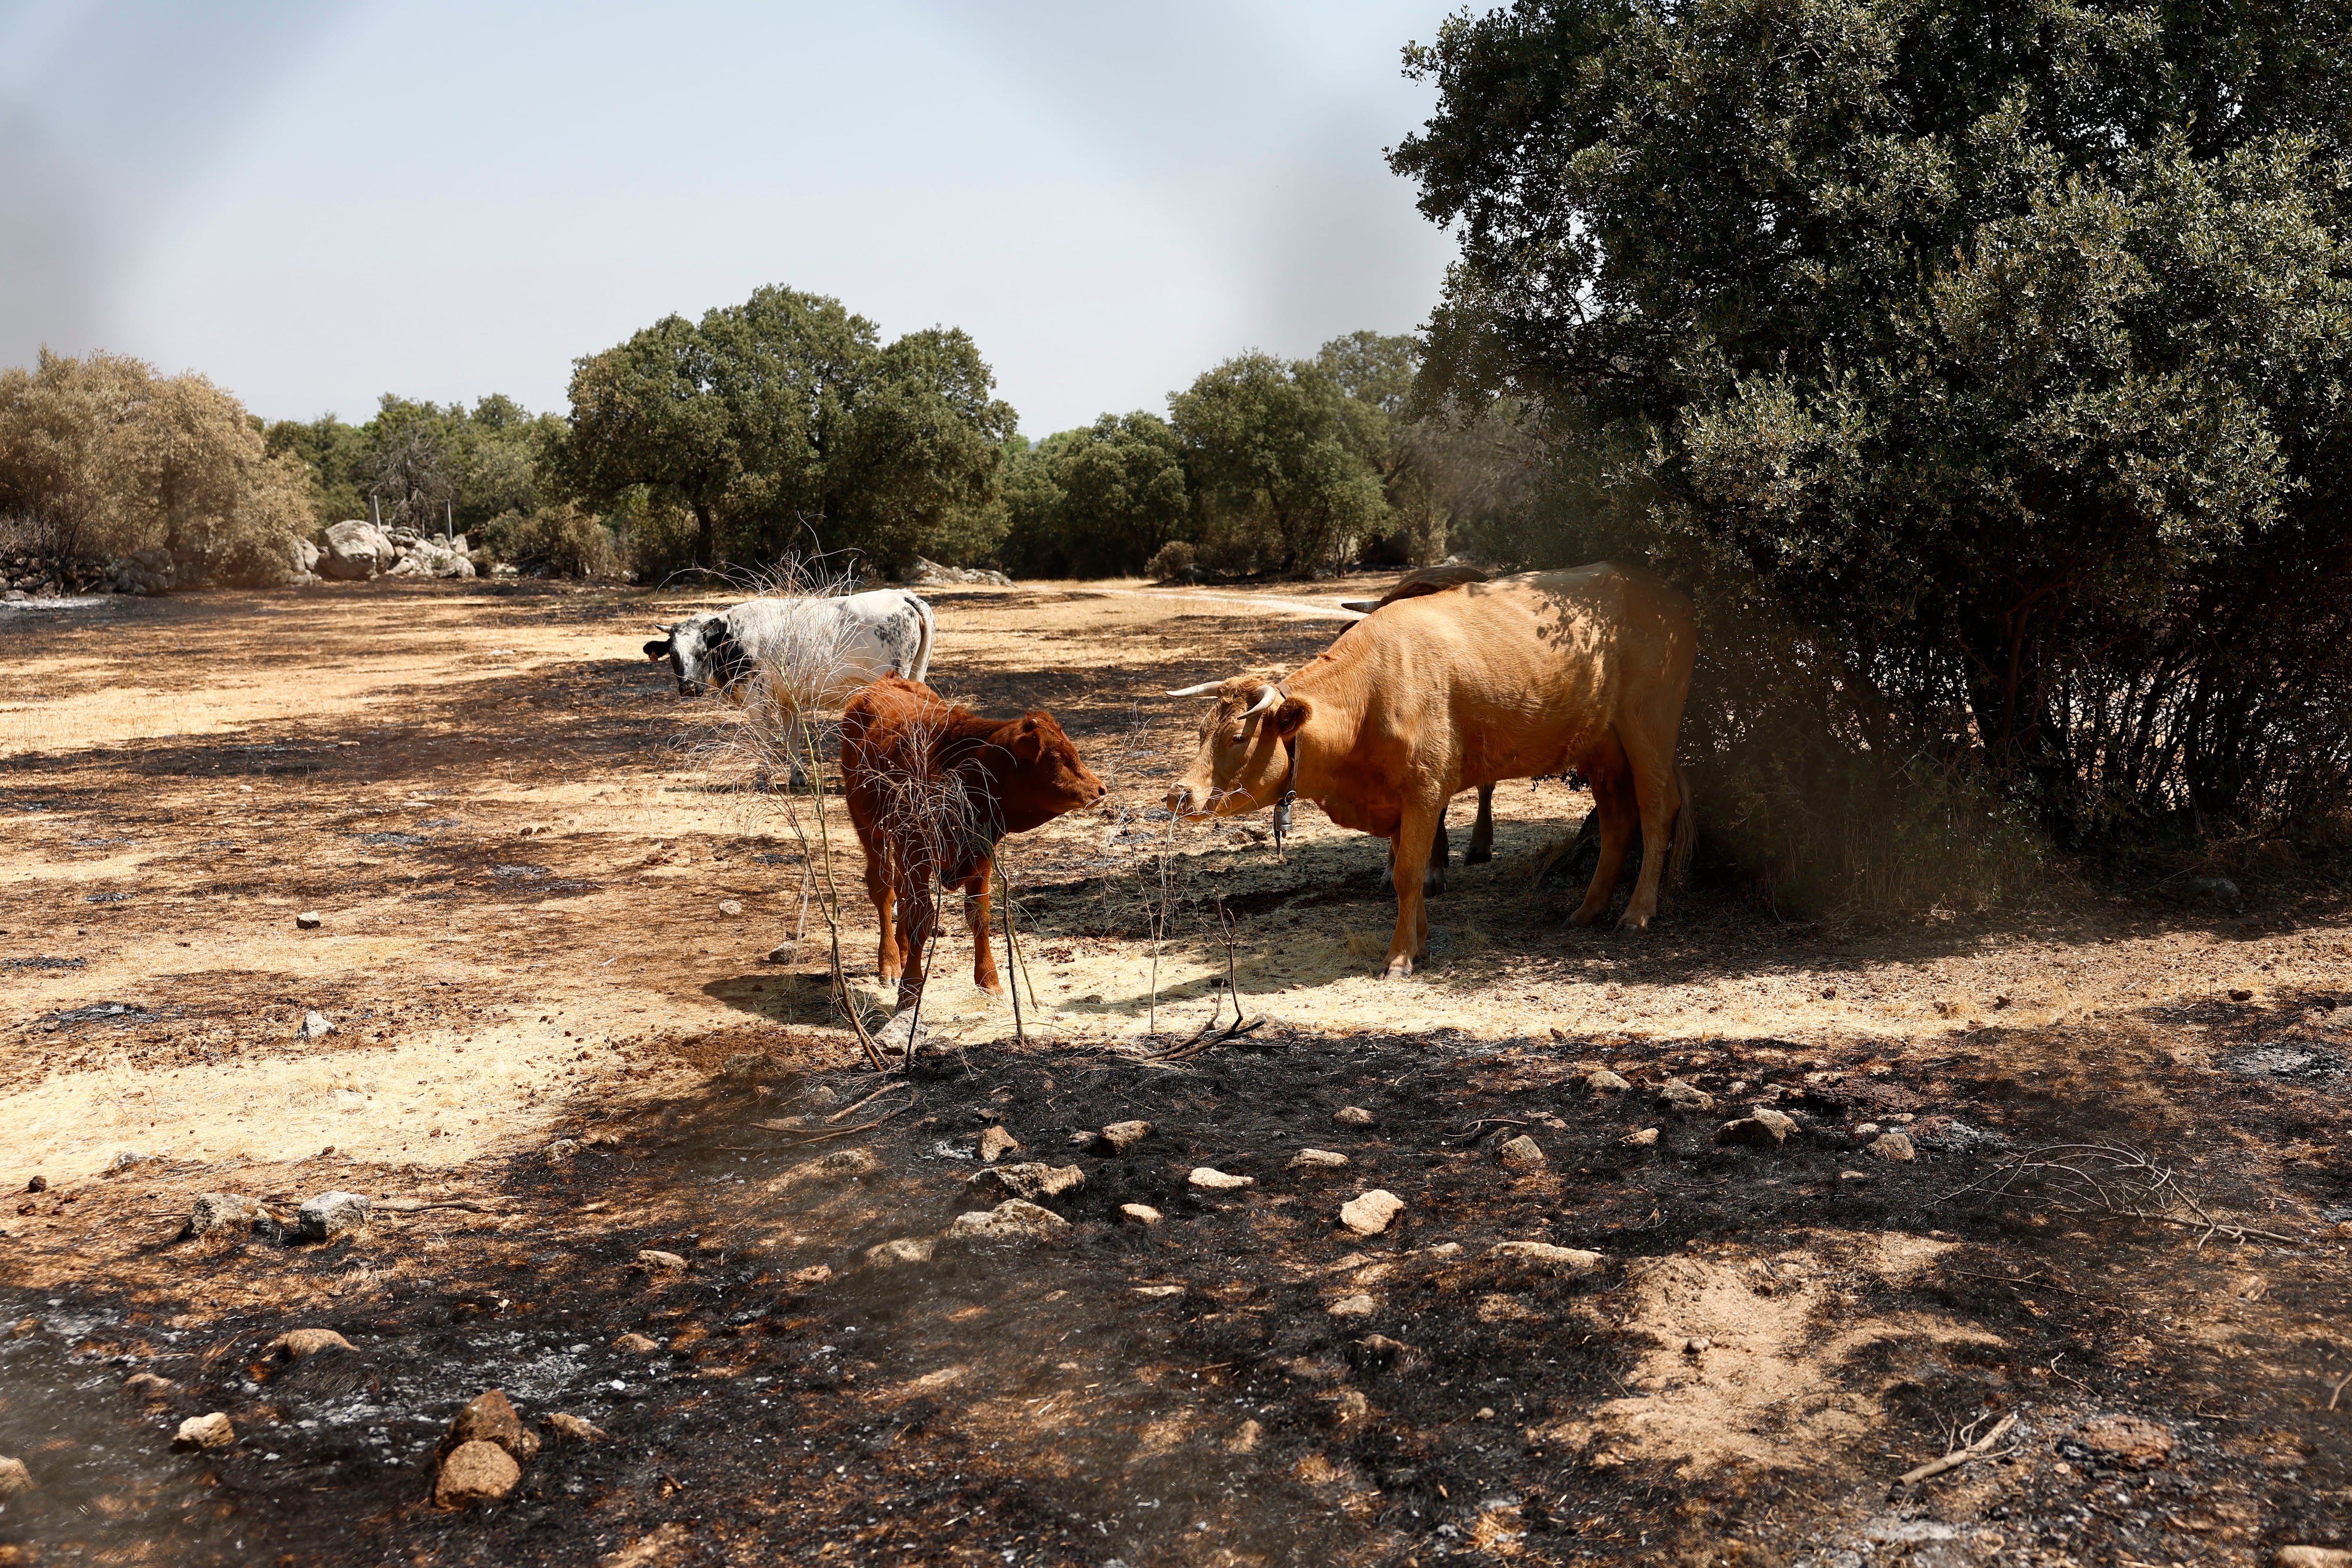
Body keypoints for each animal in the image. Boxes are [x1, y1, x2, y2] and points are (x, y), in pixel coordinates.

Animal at [643, 589, 935, 779]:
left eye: (702, 652)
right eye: (673, 654)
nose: (689, 688)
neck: (733, 638)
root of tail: (901, 595)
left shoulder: (756, 699)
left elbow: (762, 738)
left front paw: (762, 778)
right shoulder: (787, 699)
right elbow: (792, 736)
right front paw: (797, 776)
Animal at [842, 674, 1106, 1011]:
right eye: (1057, 757)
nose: (1100, 789)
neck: (965, 775)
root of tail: (886, 681)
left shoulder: (981, 853)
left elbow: (978, 916)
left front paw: (990, 982)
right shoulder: (916, 851)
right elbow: (921, 919)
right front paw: (909, 993)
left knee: (900, 891)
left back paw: (900, 953)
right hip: (869, 828)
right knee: (884, 889)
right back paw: (889, 963)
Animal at [1165, 561, 1695, 977]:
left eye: (1238, 737)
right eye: (1200, 732)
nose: (1179, 794)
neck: (1368, 697)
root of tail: (1662, 592)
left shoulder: (1423, 790)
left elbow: (1407, 874)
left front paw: (1399, 958)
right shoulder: (1397, 801)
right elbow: (1411, 871)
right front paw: (1419, 940)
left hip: (1649, 728)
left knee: (1656, 811)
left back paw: (1637, 913)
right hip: (1602, 749)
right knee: (1617, 822)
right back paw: (1587, 910)